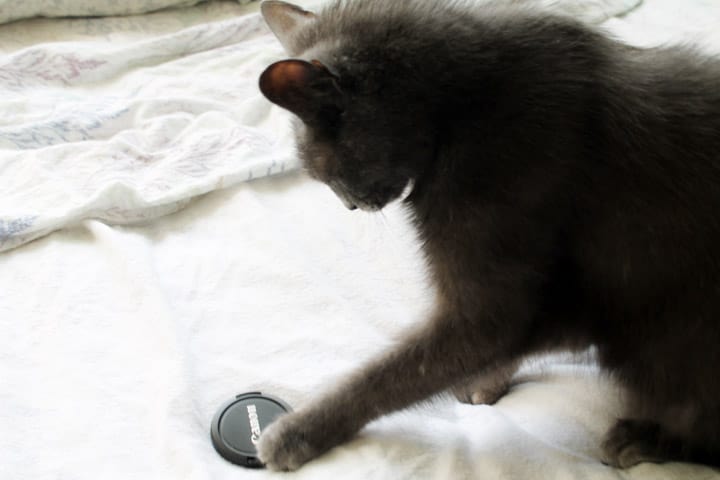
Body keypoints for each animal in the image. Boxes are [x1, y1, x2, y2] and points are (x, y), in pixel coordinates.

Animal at [253, 0, 720, 472]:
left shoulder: (492, 304)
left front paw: (297, 432)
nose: (349, 205)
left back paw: (643, 438)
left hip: (676, 342)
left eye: (328, 175)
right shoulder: (573, 297)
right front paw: (485, 381)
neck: (460, 107)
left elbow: (395, 372)